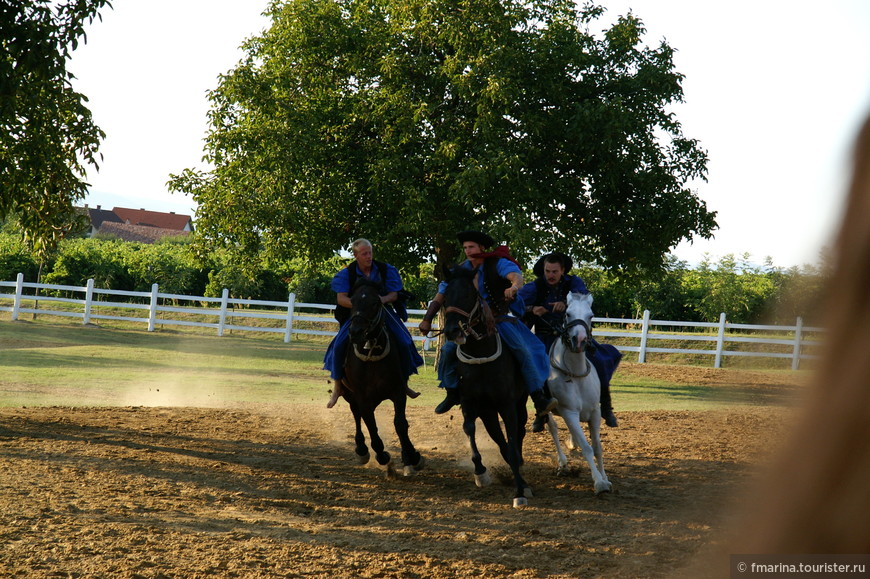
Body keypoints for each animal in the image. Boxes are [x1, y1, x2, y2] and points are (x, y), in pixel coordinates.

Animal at [340, 280, 426, 476]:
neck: (372, 349)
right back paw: (362, 449)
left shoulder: (398, 391)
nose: (355, 332)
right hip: (350, 394)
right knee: (356, 414)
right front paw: (381, 454)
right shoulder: (362, 397)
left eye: (375, 303)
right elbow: (370, 424)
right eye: (352, 301)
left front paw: (412, 457)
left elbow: (400, 424)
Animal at [442, 268, 532, 508]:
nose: (452, 331)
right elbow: (469, 429)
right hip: (488, 411)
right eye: (445, 297)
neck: (481, 355)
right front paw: (480, 472)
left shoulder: (507, 405)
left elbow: (512, 440)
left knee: (518, 433)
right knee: (499, 438)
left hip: (519, 403)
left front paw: (520, 491)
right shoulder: (471, 403)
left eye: (468, 295)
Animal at [544, 292, 612, 496]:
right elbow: (587, 448)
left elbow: (597, 447)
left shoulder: (595, 412)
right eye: (567, 313)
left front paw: (605, 478)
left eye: (591, 315)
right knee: (553, 428)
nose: (580, 340)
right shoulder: (569, 413)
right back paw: (563, 463)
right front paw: (599, 482)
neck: (575, 374)